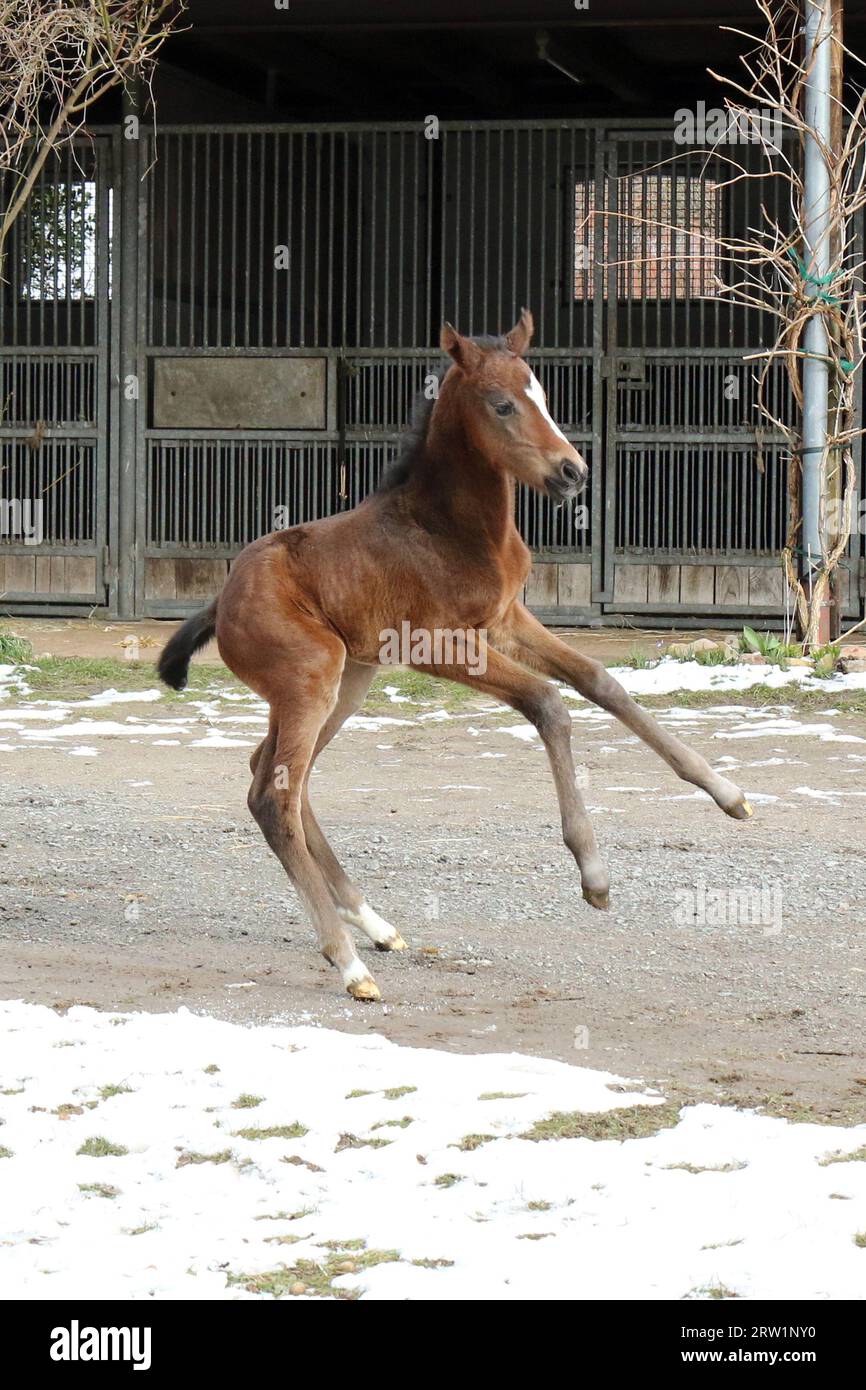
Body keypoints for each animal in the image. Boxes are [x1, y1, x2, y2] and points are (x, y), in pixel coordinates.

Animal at [158, 309, 752, 1001]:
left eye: (543, 394)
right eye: (502, 405)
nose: (573, 473)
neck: (451, 529)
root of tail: (221, 600)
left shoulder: (506, 620)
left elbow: (599, 680)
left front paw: (728, 794)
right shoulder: (438, 645)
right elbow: (548, 702)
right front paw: (594, 874)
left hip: (346, 682)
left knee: (275, 776)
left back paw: (375, 925)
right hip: (312, 680)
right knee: (272, 798)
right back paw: (350, 964)